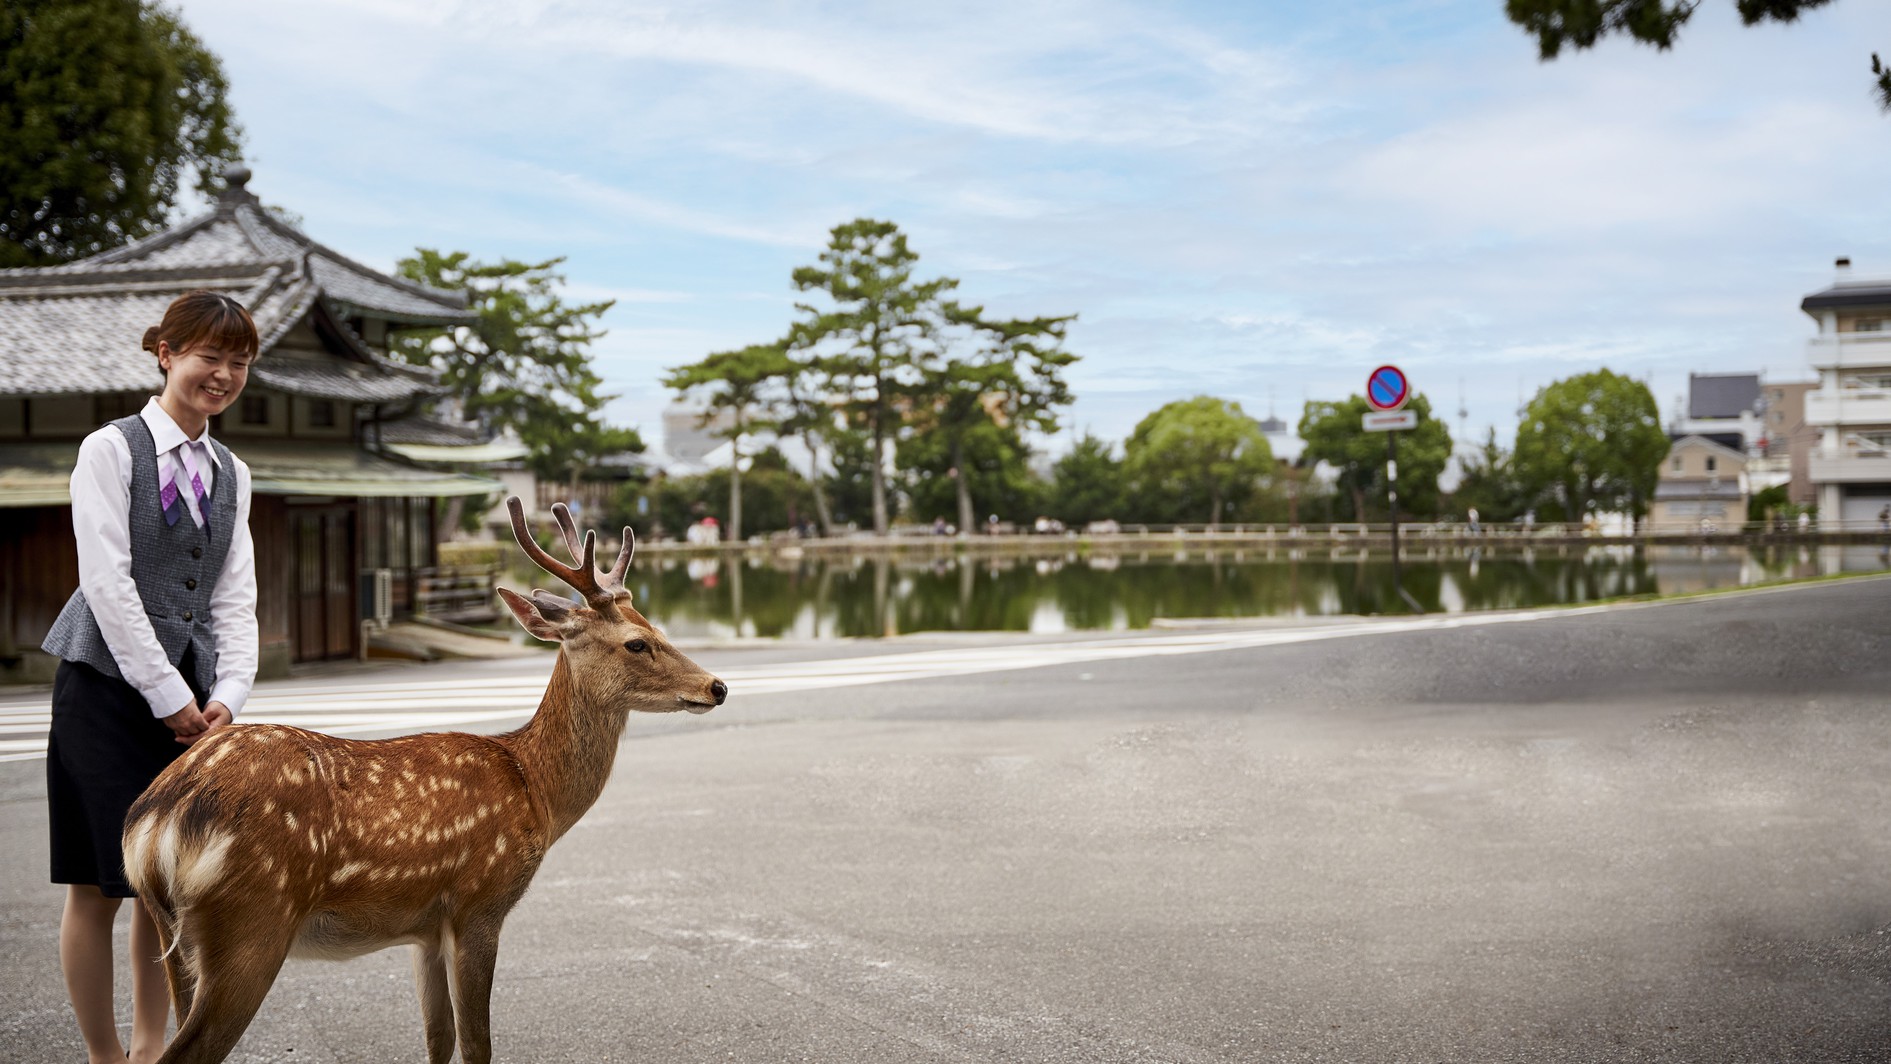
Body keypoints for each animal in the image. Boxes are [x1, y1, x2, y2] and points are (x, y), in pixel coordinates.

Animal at [118, 498, 722, 1064]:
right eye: (636, 642)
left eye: (658, 627)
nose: (716, 686)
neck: (534, 789)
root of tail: (158, 819)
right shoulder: (479, 903)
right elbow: (477, 1043)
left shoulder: (422, 929)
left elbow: (438, 1037)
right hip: (252, 922)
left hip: (173, 932)